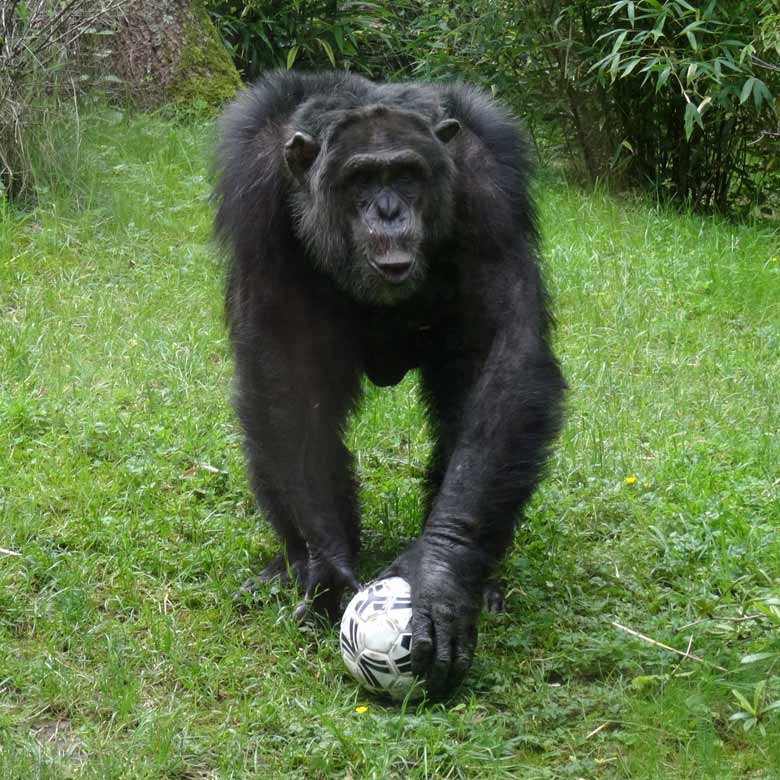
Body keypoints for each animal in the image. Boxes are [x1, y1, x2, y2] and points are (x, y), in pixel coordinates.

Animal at [213, 70, 568, 696]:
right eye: (361, 178)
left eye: (405, 174)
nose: (388, 211)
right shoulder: (253, 185)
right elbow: (283, 370)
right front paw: (328, 563)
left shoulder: (488, 181)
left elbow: (504, 346)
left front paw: (440, 576)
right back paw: (290, 564)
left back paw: (480, 579)